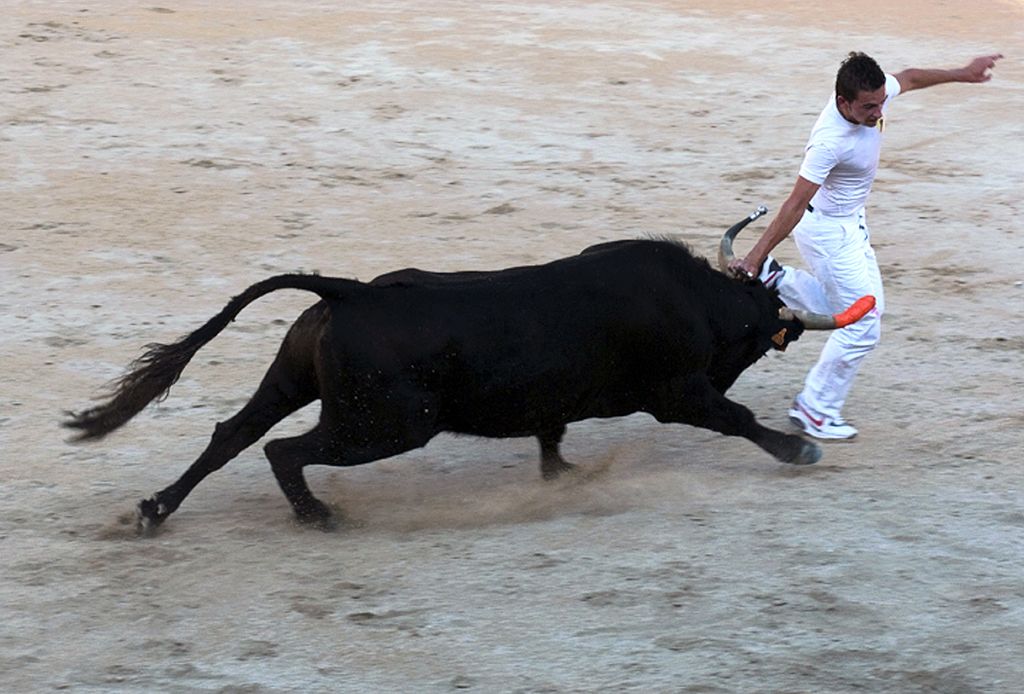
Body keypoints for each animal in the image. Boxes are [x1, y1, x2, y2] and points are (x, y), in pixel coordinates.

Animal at [68, 209, 876, 536]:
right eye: (761, 340)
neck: (700, 303)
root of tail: (350, 291)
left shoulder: (560, 399)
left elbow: (551, 434)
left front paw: (563, 478)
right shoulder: (678, 394)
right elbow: (736, 419)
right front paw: (798, 448)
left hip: (294, 383)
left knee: (231, 434)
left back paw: (154, 512)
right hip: (386, 425)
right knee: (281, 450)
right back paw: (320, 516)